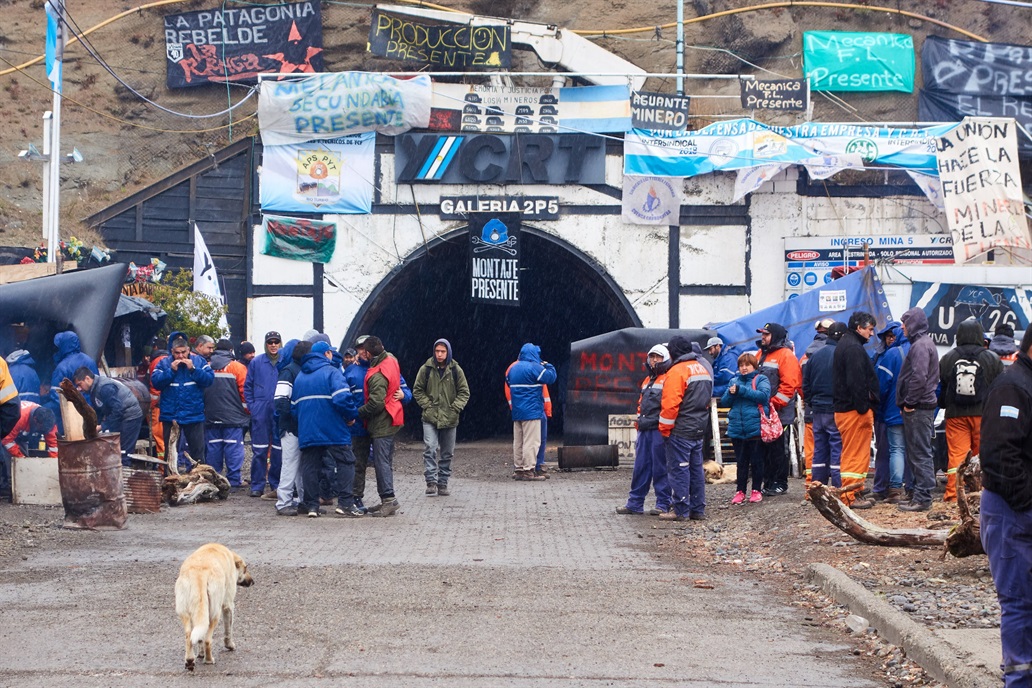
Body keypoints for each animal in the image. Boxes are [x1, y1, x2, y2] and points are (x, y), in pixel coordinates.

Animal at [173, 540, 253, 668]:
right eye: (245, 569)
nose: (252, 582)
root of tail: (199, 573)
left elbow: (199, 637)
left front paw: (200, 654)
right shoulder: (228, 605)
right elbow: (228, 630)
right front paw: (230, 645)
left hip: (185, 613)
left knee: (189, 635)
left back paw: (190, 660)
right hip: (215, 613)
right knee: (207, 640)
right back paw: (209, 660)